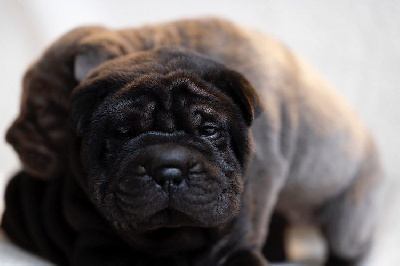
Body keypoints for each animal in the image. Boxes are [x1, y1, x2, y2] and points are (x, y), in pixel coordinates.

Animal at [3, 18, 384, 266]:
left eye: (41, 115)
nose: (9, 137)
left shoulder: (263, 166)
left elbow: (248, 215)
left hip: (352, 216)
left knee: (347, 245)